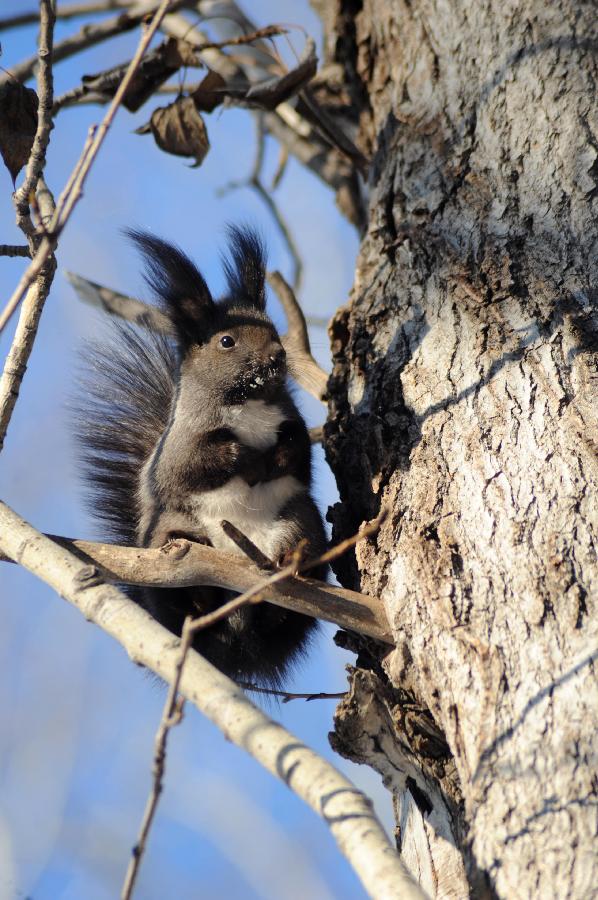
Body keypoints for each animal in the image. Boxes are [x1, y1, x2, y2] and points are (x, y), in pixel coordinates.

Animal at [76, 227, 328, 688]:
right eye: (226, 341)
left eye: (274, 330)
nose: (277, 356)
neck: (247, 403)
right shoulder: (179, 447)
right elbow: (192, 467)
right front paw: (240, 454)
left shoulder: (293, 424)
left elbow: (300, 455)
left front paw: (276, 457)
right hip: (167, 535)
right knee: (182, 585)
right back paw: (195, 590)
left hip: (298, 518)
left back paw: (292, 565)